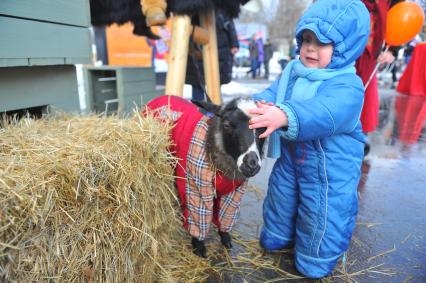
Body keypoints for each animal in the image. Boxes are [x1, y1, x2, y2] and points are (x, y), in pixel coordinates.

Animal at [146, 95, 266, 258]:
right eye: (227, 125)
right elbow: (198, 216)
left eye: (264, 128)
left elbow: (226, 215)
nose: (251, 164)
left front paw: (226, 238)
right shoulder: (196, 186)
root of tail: (161, 97)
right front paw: (199, 246)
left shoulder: (235, 192)